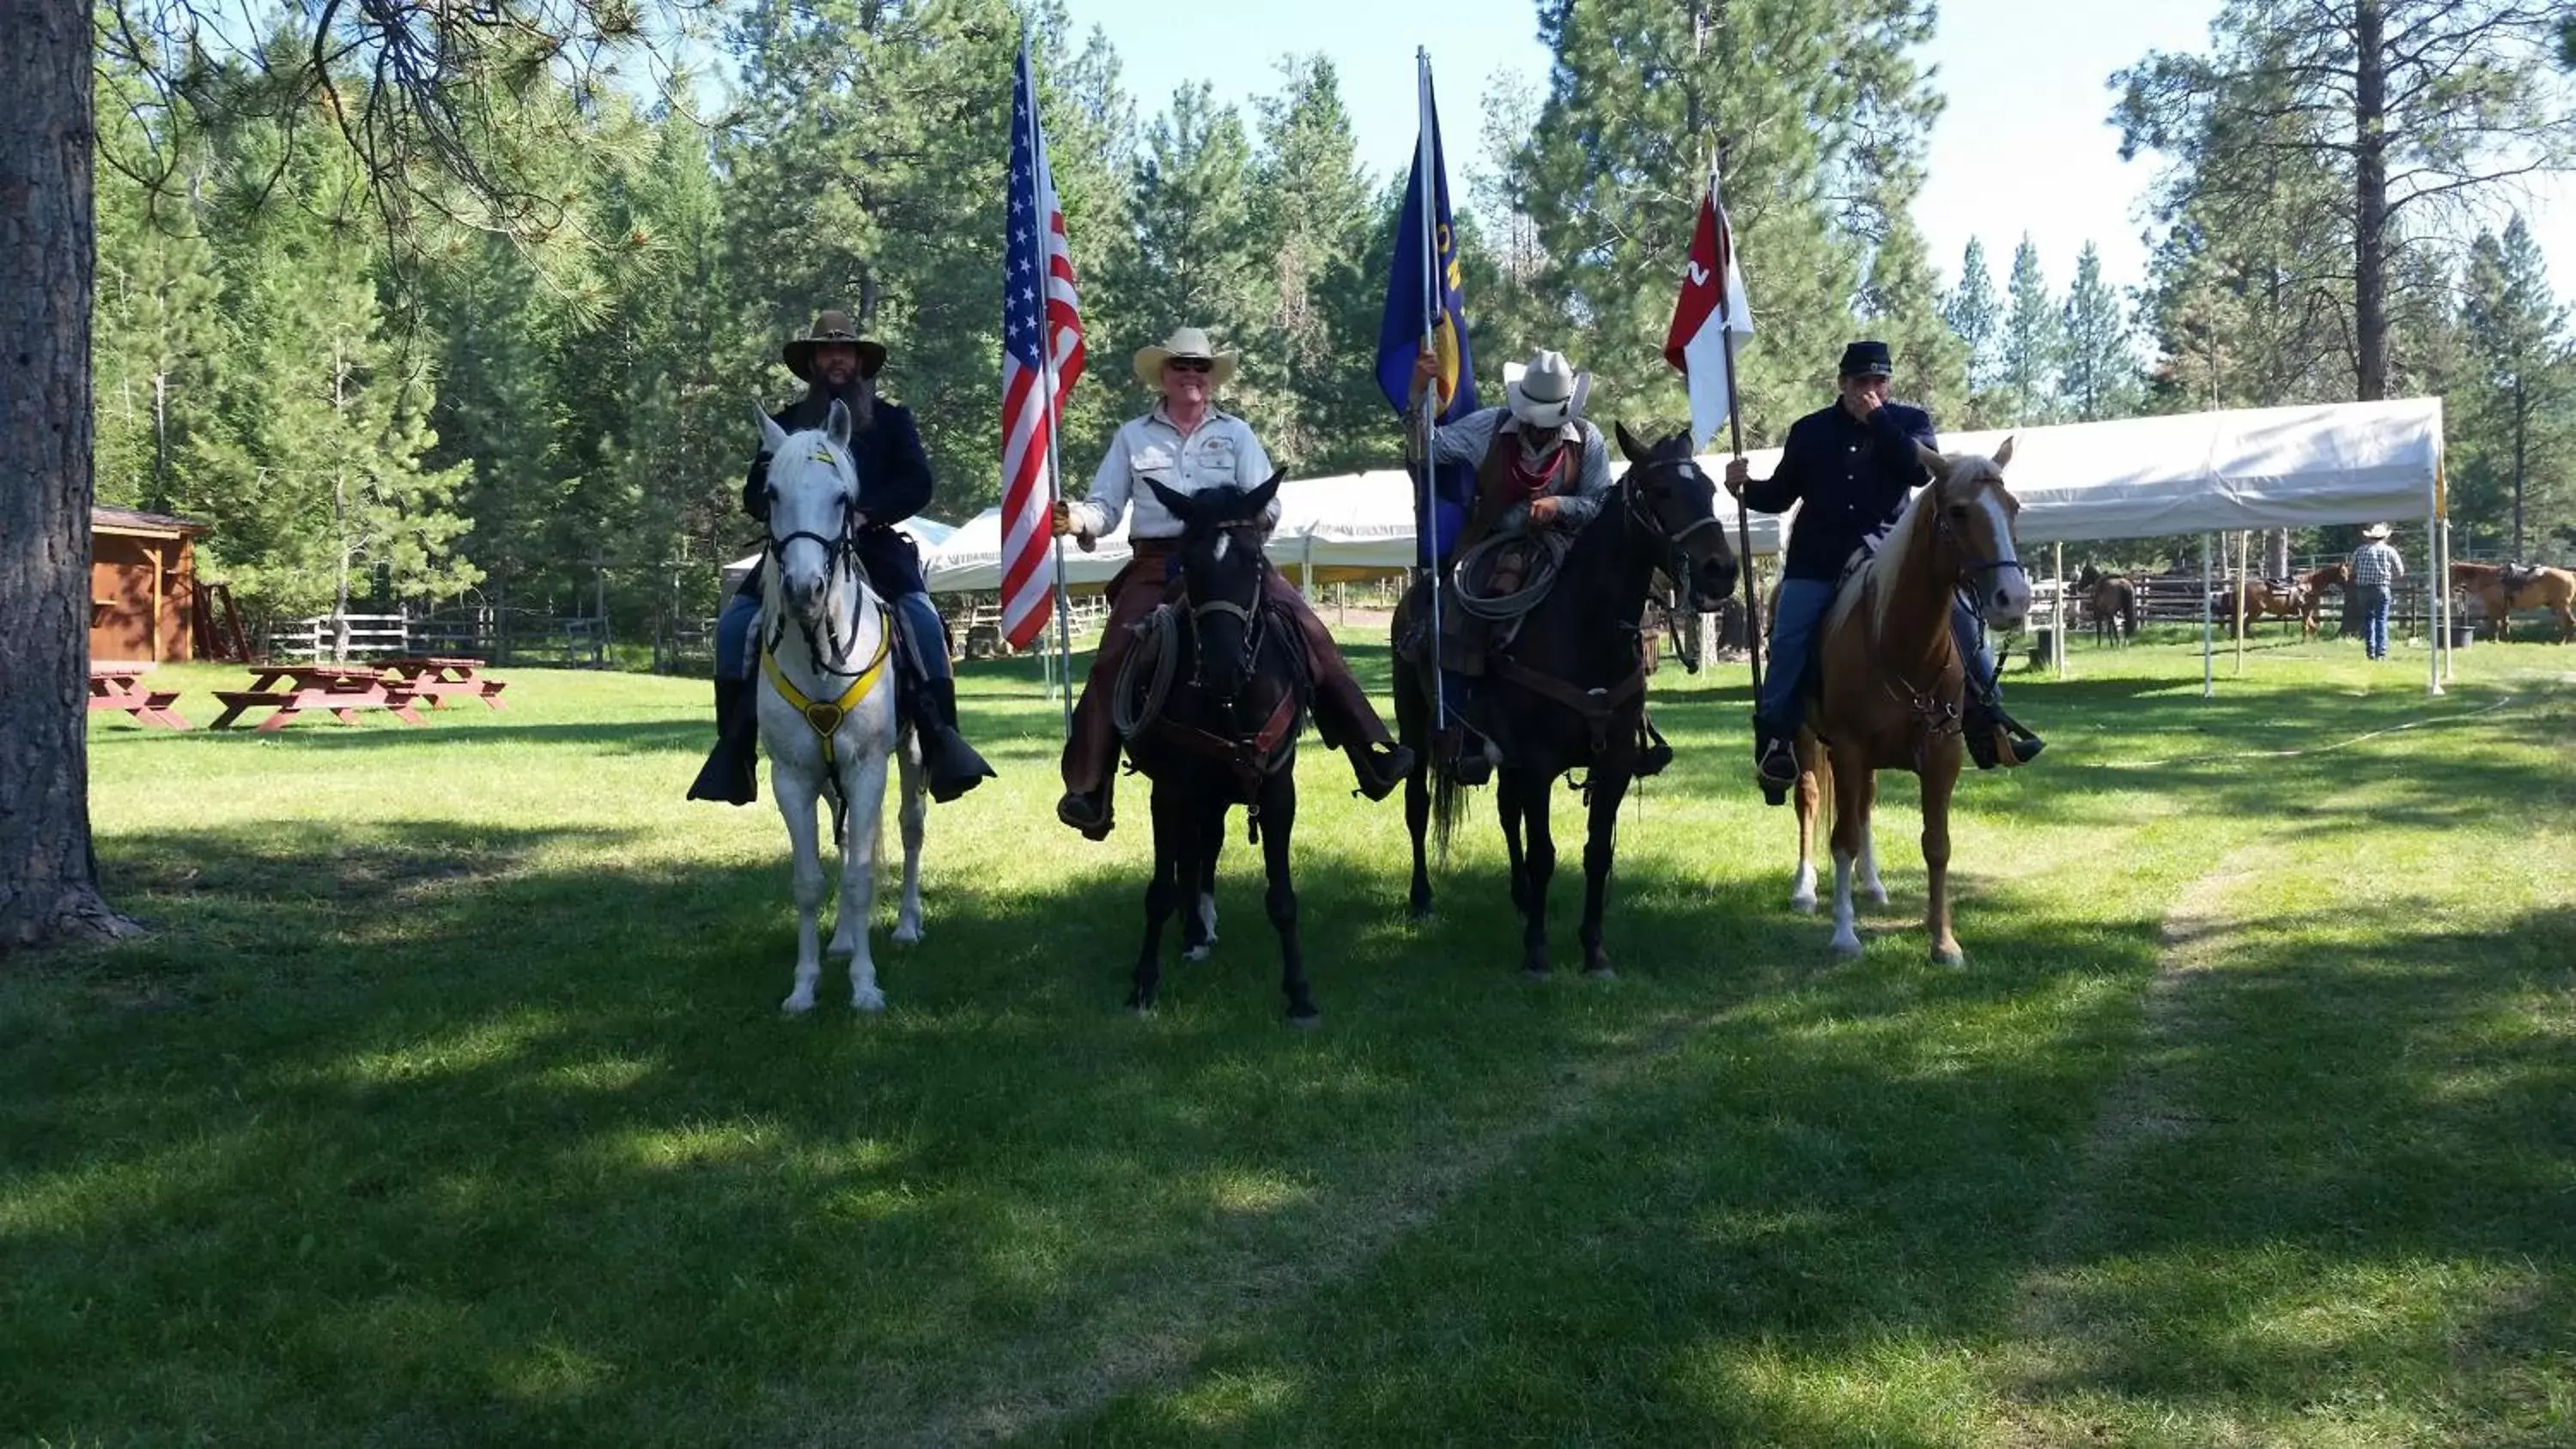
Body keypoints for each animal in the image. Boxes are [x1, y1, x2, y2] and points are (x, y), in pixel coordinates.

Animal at [747, 396, 927, 1009]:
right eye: (772, 493)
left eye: (843, 498)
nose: (805, 590)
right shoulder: (793, 775)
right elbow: (809, 881)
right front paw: (804, 989)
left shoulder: (868, 766)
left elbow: (860, 874)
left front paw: (866, 988)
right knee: (848, 837)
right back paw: (846, 940)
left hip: (911, 755)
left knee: (910, 827)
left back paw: (907, 925)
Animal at [1113, 476, 1319, 1019]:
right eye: (1188, 561)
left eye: (1254, 559)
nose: (1225, 666)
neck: (1230, 700)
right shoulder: (1168, 791)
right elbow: (1160, 890)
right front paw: (1143, 984)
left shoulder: (1276, 791)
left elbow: (1282, 897)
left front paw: (1300, 993)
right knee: (1192, 852)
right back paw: (1193, 932)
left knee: (1205, 847)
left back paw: (1200, 927)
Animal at [1401, 424, 1741, 983]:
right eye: (1661, 491)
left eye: (1712, 489)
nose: (1721, 571)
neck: (1586, 629)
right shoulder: (1538, 764)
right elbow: (1545, 852)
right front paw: (1537, 954)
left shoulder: (1614, 765)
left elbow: (1596, 853)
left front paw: (1594, 952)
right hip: (1419, 728)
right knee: (1418, 805)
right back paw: (1421, 899)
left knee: (1506, 811)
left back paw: (1520, 898)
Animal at [1793, 437, 2030, 967]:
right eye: (1959, 511)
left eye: (2013, 507)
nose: (2014, 600)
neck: (1902, 644)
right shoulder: (1848, 747)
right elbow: (1841, 839)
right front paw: (1845, 935)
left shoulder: (1942, 752)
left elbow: (1936, 844)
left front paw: (1943, 940)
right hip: (1806, 741)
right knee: (1810, 800)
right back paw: (1805, 888)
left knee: (1864, 806)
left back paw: (1875, 885)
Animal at [2452, 558, 2576, 643]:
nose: (2456, 590)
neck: (2490, 579)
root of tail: (2570, 574)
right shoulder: (2502, 608)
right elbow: (2504, 623)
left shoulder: (2493, 606)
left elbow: (2494, 623)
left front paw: (2494, 640)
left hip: (2562, 606)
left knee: (2569, 622)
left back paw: (2564, 641)